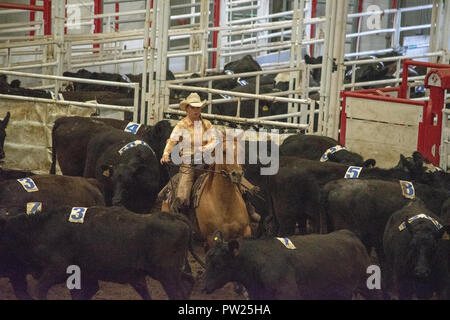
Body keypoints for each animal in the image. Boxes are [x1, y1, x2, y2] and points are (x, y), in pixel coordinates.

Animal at [0, 208, 197, 300]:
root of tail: (175, 217)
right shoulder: (83, 276)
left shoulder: (57, 269)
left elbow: (39, 289)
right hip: (171, 272)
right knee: (188, 282)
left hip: (166, 273)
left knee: (178, 293)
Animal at [201, 230, 376, 300]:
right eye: (207, 260)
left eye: (218, 264)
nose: (203, 288)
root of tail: (350, 234)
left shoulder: (288, 294)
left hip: (368, 284)